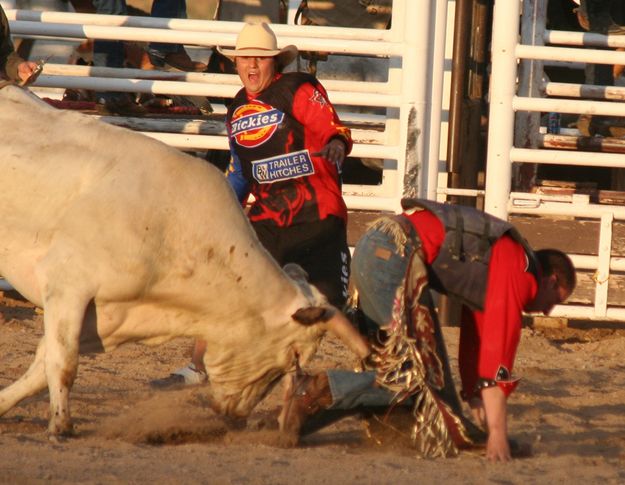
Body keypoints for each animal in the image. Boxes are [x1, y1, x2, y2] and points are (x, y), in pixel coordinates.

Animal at [0, 85, 366, 436]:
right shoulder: (67, 286)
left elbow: (42, 364)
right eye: (292, 357)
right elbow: (63, 362)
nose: (237, 418)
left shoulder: (109, 317)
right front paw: (60, 425)